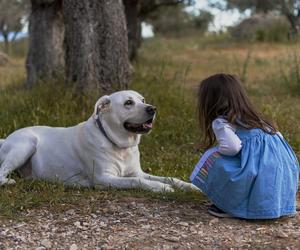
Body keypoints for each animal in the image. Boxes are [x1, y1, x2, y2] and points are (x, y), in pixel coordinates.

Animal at [0, 91, 197, 192]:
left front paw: (189, 186)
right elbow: (136, 182)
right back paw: (10, 182)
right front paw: (161, 187)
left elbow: (170, 177)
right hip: (26, 144)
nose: (152, 109)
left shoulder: (137, 172)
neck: (120, 145)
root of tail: (5, 139)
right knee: (2, 172)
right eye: (128, 103)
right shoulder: (105, 178)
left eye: (142, 100)